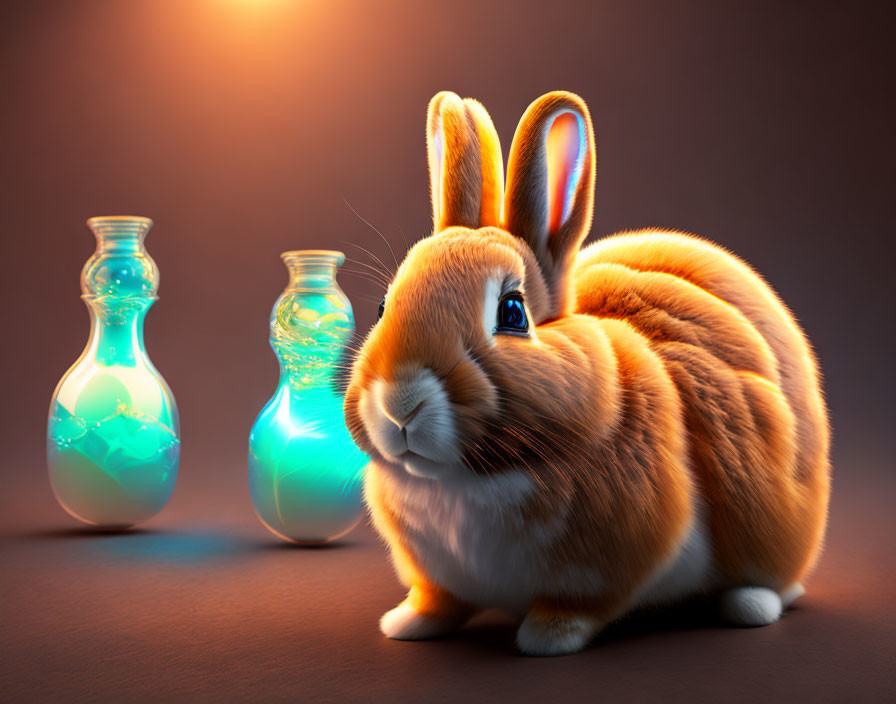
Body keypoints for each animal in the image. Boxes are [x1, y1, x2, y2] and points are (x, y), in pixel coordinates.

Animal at [342, 91, 824, 656]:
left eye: (513, 313)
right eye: (382, 307)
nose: (401, 403)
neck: (469, 478)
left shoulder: (608, 562)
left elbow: (579, 605)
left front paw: (545, 638)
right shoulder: (437, 573)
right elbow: (437, 599)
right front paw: (406, 624)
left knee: (777, 582)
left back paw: (749, 606)